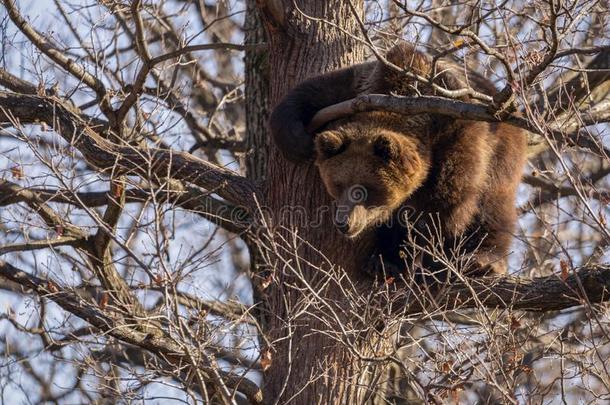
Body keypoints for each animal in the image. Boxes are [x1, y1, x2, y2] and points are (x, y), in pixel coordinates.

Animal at [268, 42, 524, 280]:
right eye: (337, 185)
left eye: (364, 190)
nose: (344, 222)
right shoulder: (355, 91)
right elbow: (309, 92)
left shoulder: (455, 131)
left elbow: (446, 202)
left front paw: (431, 257)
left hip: (502, 146)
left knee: (493, 204)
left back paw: (480, 260)